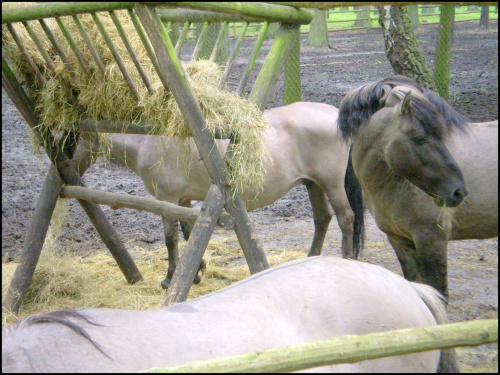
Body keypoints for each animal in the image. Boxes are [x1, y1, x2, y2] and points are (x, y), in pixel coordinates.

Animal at [72, 101, 362, 290]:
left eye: (72, 139)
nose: (69, 169)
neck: (148, 139)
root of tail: (334, 114)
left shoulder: (167, 197)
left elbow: (170, 238)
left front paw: (169, 278)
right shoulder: (183, 199)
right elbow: (189, 233)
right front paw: (195, 273)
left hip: (331, 185)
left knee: (346, 219)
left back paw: (348, 261)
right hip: (313, 185)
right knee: (322, 219)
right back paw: (311, 259)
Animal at [338, 76, 498, 302]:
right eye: (420, 138)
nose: (458, 191)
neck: (393, 186)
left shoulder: (432, 241)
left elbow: (439, 293)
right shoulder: (399, 241)